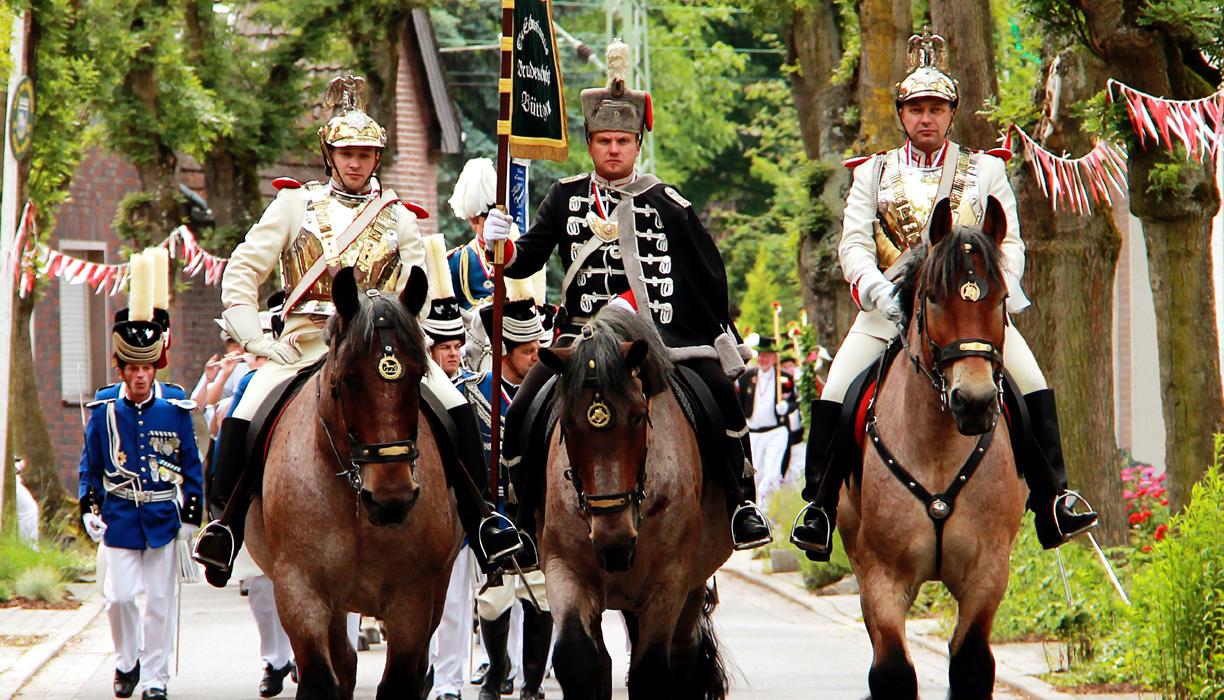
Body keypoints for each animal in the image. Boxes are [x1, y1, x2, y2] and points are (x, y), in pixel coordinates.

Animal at [246, 268, 460, 700]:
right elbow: (320, 678)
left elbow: (400, 681)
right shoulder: (300, 590)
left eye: (418, 375)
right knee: (343, 663)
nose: (391, 499)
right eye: (348, 379)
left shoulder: (413, 596)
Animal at [533, 308, 724, 700]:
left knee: (684, 654)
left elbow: (650, 671)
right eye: (568, 424)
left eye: (638, 416)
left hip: (691, 585)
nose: (614, 541)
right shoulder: (564, 569)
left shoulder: (669, 580)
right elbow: (578, 658)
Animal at [837, 198, 1028, 700]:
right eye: (935, 298)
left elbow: (971, 664)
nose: (974, 402)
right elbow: (892, 670)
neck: (939, 448)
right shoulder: (882, 576)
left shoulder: (987, 573)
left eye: (1001, 299)